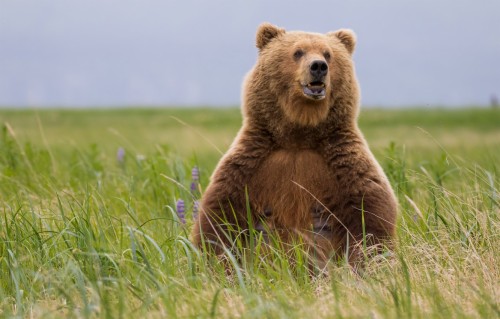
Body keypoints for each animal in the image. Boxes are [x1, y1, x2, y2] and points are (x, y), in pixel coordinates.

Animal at [191, 21, 398, 270]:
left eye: (328, 54)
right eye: (298, 52)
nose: (318, 66)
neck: (299, 135)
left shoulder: (344, 164)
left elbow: (370, 219)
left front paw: (369, 264)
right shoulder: (250, 164)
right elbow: (220, 220)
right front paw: (218, 264)